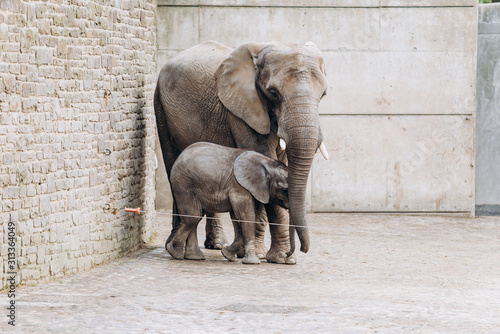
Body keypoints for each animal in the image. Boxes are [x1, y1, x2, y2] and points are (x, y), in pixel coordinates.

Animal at [154, 40, 330, 264]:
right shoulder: (242, 110)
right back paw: (177, 247)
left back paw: (216, 245)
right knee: (171, 166)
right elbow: (262, 156)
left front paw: (271, 257)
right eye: (273, 93)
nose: (298, 251)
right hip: (161, 107)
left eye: (323, 94)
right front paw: (277, 258)